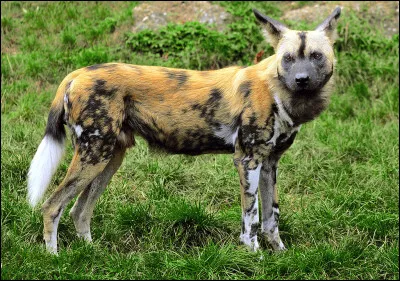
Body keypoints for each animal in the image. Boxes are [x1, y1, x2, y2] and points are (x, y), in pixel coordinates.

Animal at [27, 7, 340, 254]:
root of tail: (75, 74)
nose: (301, 79)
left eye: (315, 56)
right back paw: (55, 258)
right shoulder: (247, 160)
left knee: (79, 211)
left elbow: (271, 219)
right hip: (95, 155)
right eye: (288, 58)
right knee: (52, 206)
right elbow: (250, 220)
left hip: (109, 158)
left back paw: (92, 253)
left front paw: (280, 255)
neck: (277, 92)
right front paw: (256, 257)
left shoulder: (269, 164)